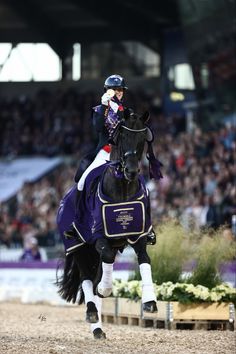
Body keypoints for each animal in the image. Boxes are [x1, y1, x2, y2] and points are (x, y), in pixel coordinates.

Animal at [57, 110, 159, 340]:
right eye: (121, 136)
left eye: (143, 138)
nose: (131, 170)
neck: (123, 187)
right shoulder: (98, 238)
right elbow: (107, 258)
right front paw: (106, 289)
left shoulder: (139, 235)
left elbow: (144, 259)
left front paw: (150, 302)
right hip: (78, 247)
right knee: (87, 279)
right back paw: (93, 316)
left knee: (94, 278)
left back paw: (98, 329)